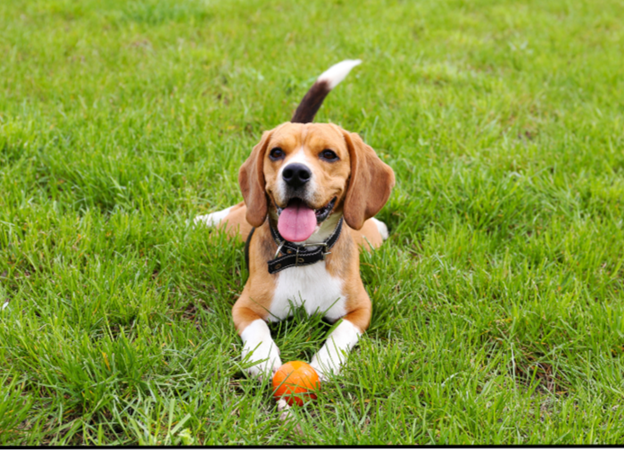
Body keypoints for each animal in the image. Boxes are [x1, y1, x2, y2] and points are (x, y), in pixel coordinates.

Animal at [195, 60, 394, 382]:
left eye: (329, 154)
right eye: (276, 152)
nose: (296, 173)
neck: (304, 254)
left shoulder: (361, 310)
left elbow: (340, 334)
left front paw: (326, 364)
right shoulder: (245, 307)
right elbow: (257, 328)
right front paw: (262, 357)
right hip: (237, 223)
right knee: (236, 210)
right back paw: (201, 219)